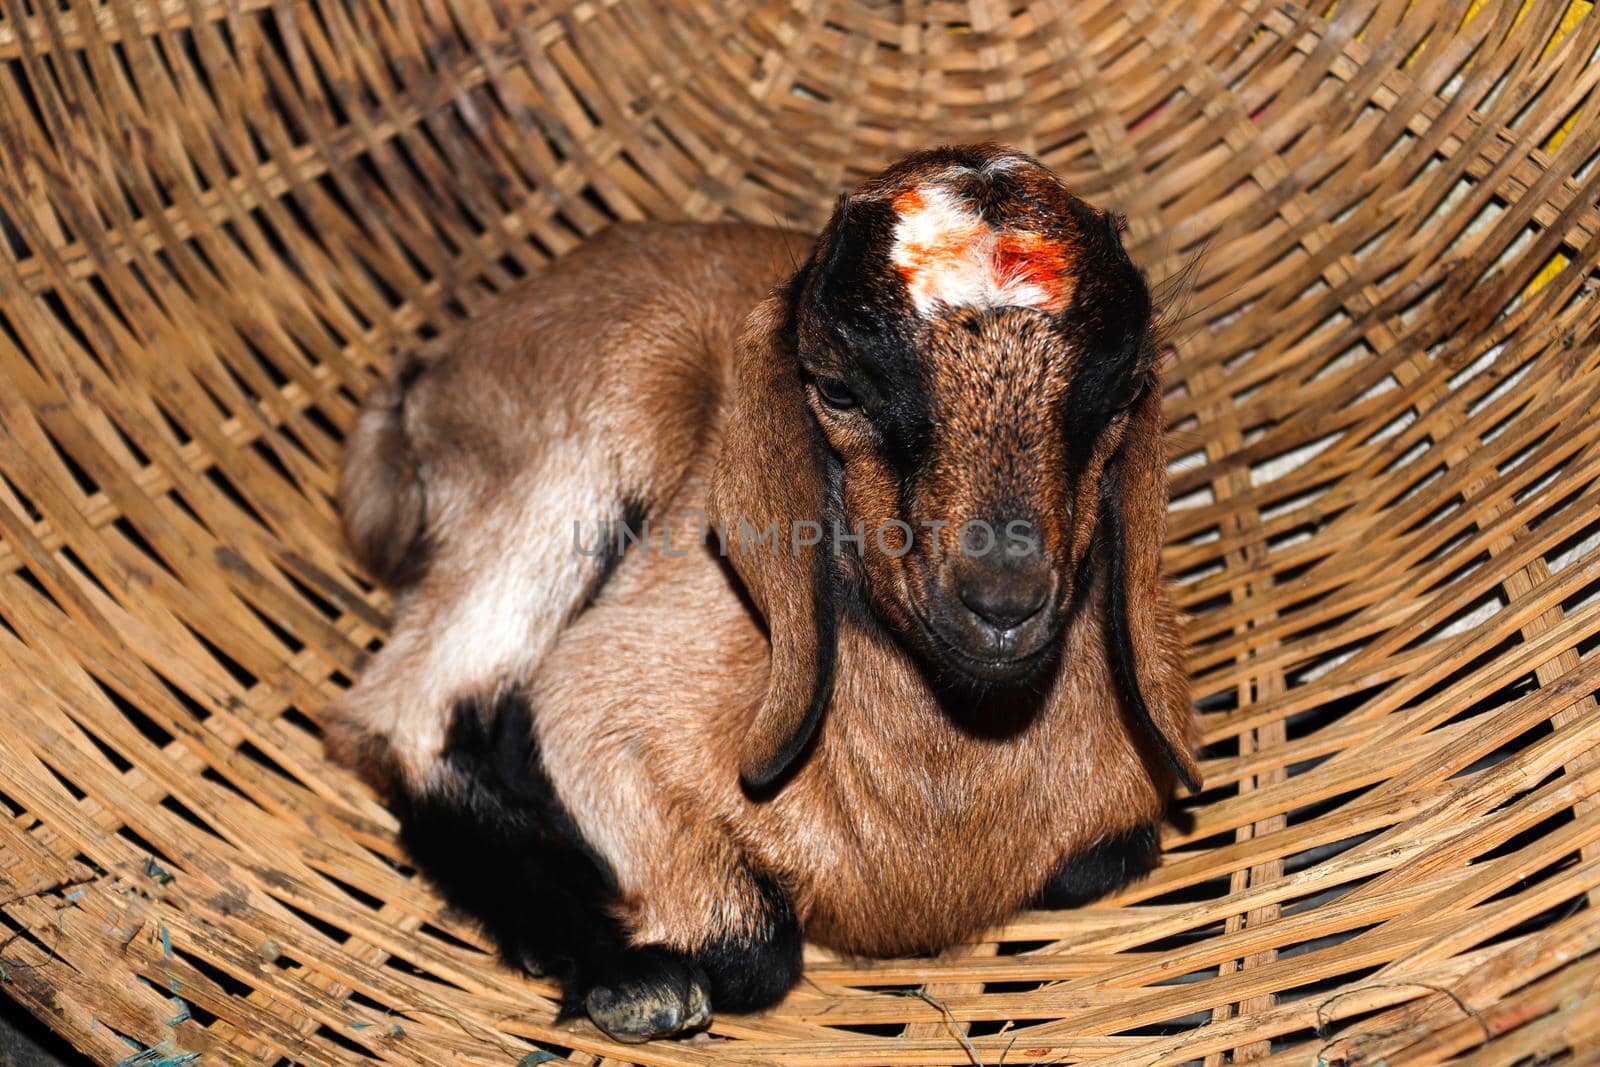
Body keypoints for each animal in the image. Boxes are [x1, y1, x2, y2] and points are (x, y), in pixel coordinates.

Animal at [324, 141, 1203, 1043]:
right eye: (838, 388)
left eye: (1122, 393)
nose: (1003, 599)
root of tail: (428, 377)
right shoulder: (594, 700)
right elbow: (753, 952)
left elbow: (1110, 856)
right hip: (589, 433)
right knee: (403, 711)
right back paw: (629, 972)